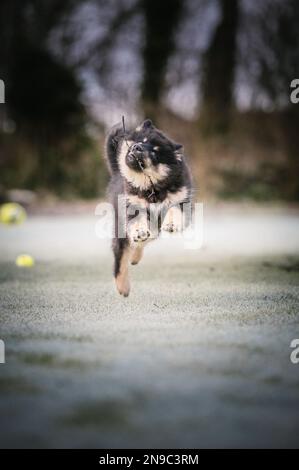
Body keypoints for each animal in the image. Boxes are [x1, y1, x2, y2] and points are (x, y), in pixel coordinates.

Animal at [105, 119, 193, 296]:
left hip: (154, 228)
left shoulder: (181, 201)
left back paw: (135, 257)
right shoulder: (132, 206)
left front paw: (171, 224)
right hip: (122, 227)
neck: (152, 188)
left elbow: (173, 210)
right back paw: (123, 287)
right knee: (121, 257)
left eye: (154, 151)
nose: (136, 147)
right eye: (141, 141)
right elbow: (137, 224)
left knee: (142, 242)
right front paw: (139, 231)